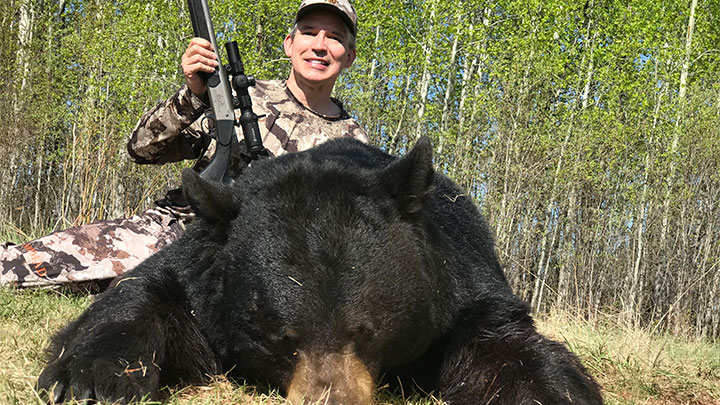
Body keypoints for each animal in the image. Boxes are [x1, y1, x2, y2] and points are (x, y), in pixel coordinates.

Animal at [36, 137, 604, 402]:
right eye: (280, 339)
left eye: (366, 332)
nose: (331, 400)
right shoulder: (203, 267)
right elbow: (146, 290)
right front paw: (92, 378)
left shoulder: (461, 279)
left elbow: (503, 344)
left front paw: (551, 392)